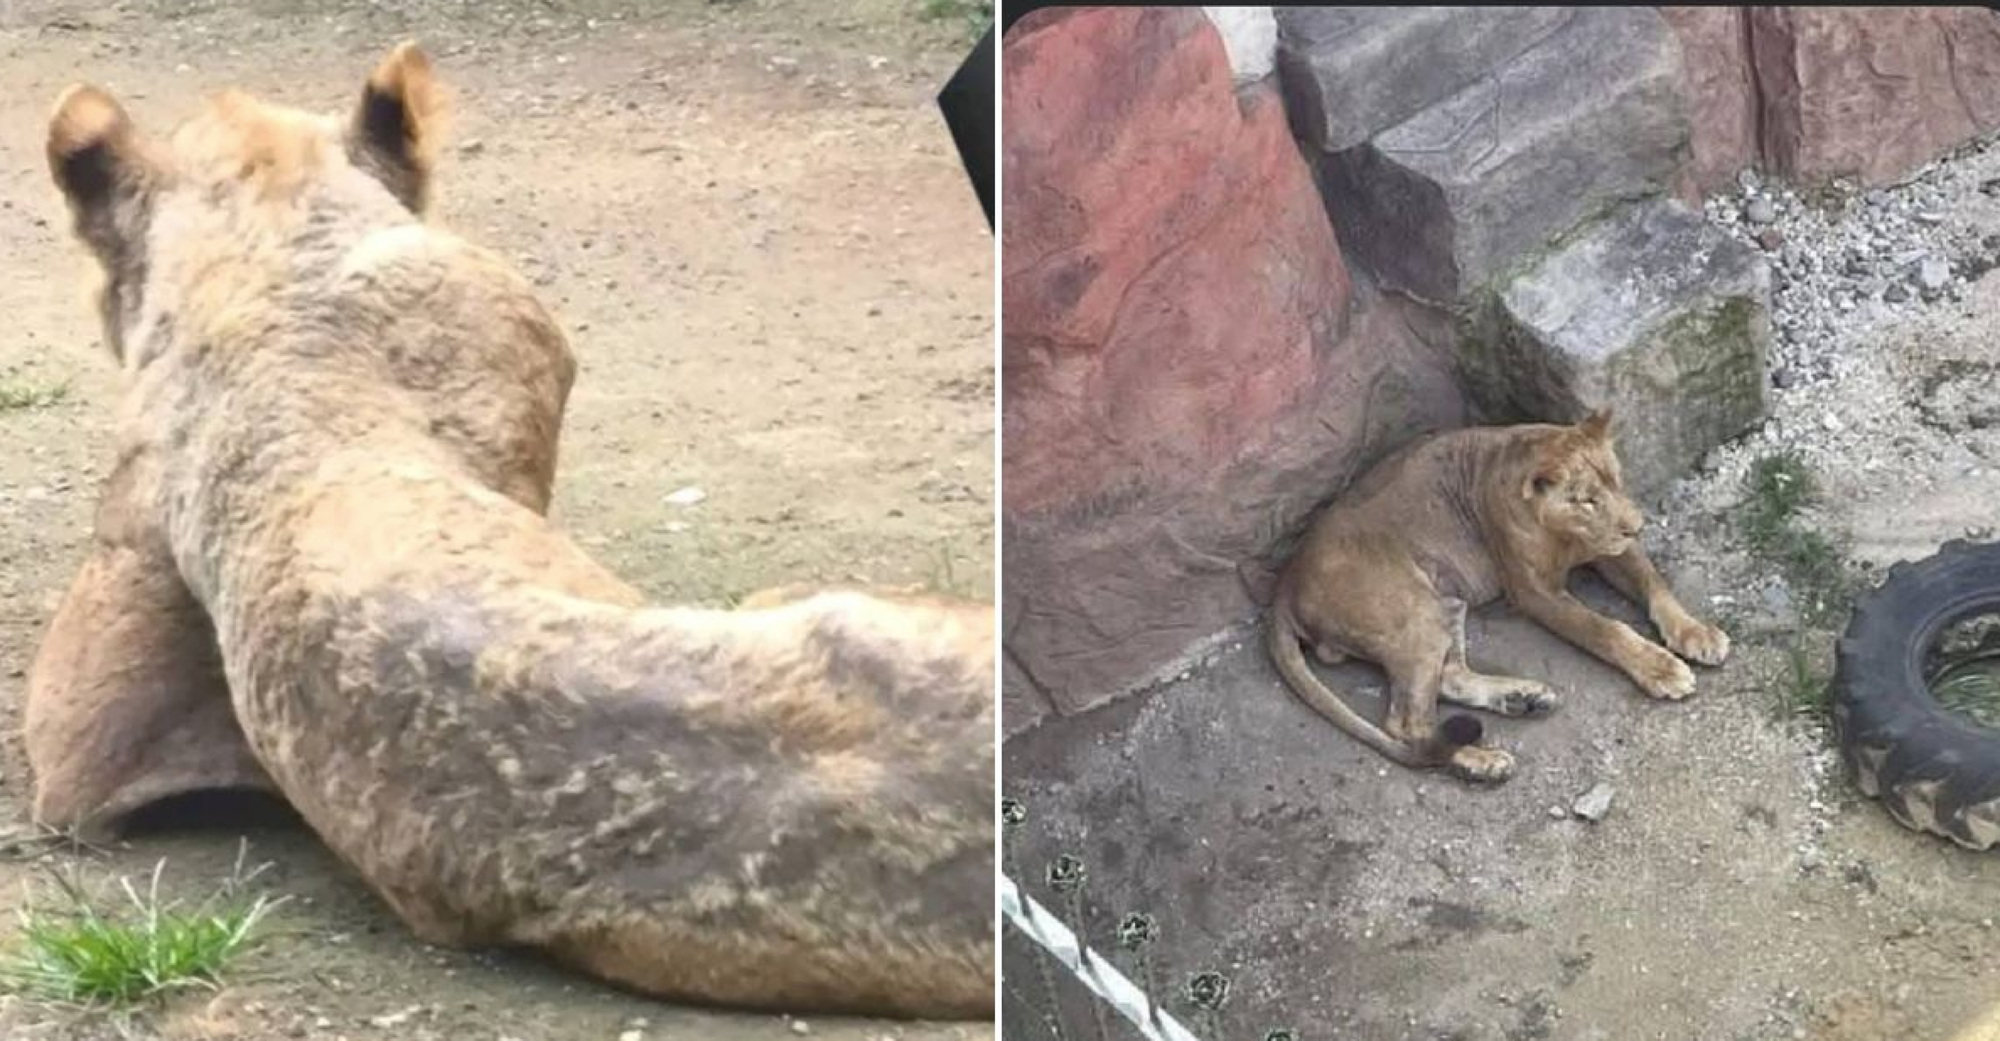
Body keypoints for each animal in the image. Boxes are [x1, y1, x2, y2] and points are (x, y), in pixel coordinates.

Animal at [1266, 411, 1730, 783]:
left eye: (1617, 480)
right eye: (1586, 500)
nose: (1637, 525)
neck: (1563, 534)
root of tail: (1284, 584)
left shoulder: (1611, 551)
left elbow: (1656, 584)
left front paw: (1696, 634)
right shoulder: (1535, 592)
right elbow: (1603, 629)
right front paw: (1661, 669)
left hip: (1446, 604)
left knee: (1449, 678)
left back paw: (1524, 699)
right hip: (1416, 614)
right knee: (1406, 725)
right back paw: (1481, 761)